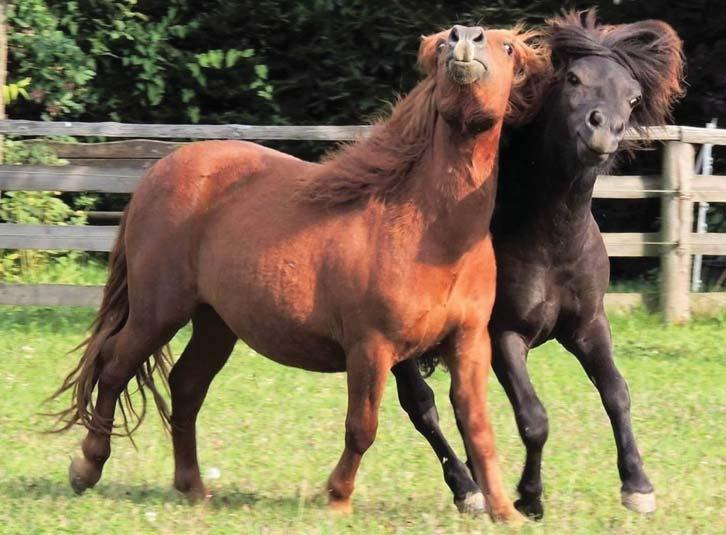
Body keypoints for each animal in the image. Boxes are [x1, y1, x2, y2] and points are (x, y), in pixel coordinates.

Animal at [52, 25, 544, 524]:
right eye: (443, 44)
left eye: (506, 47)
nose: (464, 39)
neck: (430, 232)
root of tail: (158, 172)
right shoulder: (371, 348)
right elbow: (362, 427)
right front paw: (338, 498)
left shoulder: (469, 342)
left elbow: (478, 426)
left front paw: (505, 510)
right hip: (159, 310)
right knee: (115, 365)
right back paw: (87, 467)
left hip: (215, 322)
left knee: (185, 388)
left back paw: (191, 487)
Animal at [396, 11, 684, 520]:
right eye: (573, 80)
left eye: (632, 98)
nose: (602, 131)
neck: (552, 241)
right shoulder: (504, 334)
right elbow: (534, 419)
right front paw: (529, 497)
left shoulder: (588, 325)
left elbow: (617, 393)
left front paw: (638, 485)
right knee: (422, 406)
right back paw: (467, 489)